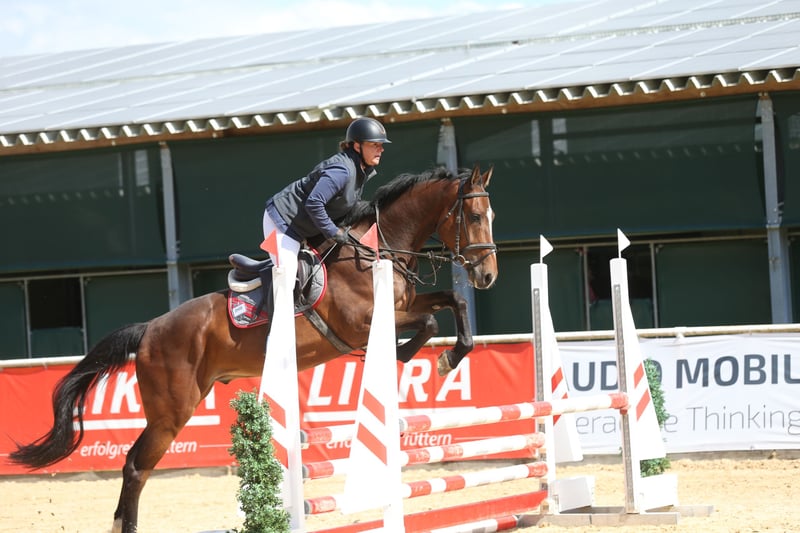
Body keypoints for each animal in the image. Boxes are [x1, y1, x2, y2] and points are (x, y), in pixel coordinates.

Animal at [9, 164, 497, 533]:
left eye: (490, 214)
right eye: (474, 217)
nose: (487, 275)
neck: (375, 252)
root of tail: (150, 329)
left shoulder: (404, 306)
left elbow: (450, 305)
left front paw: (449, 356)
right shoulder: (362, 326)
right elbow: (429, 321)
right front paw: (410, 356)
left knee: (137, 465)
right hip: (171, 411)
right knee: (134, 466)